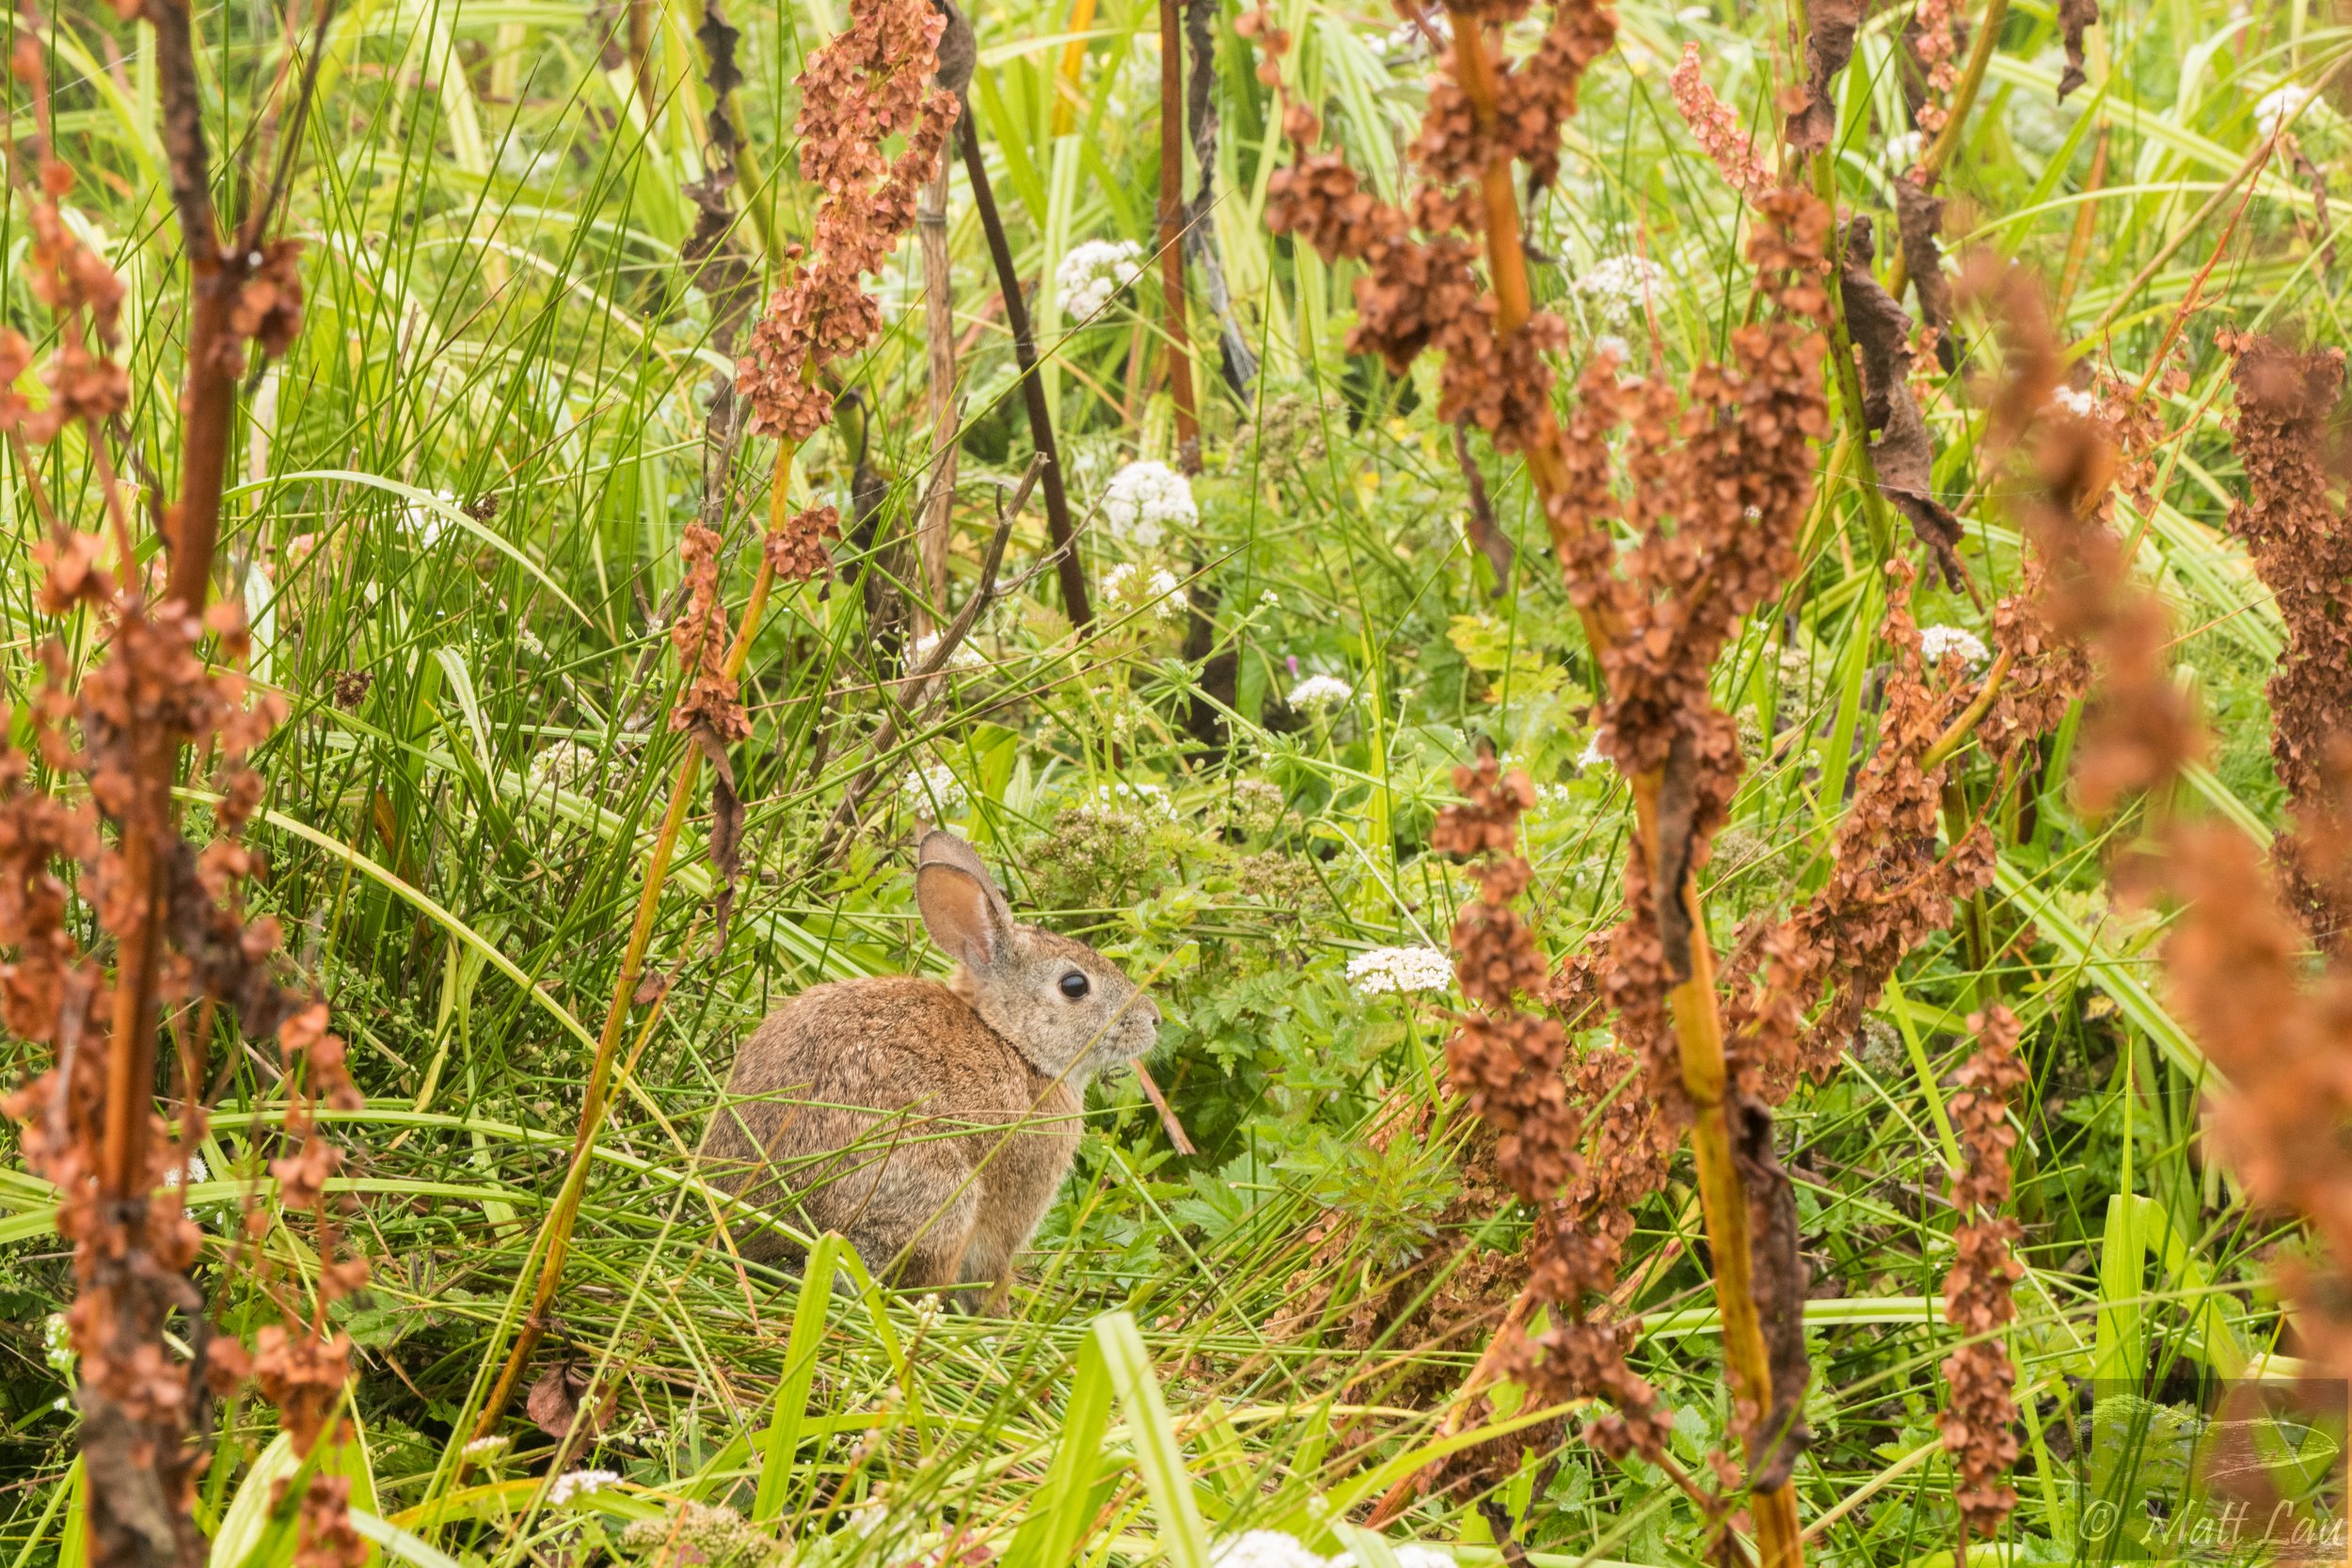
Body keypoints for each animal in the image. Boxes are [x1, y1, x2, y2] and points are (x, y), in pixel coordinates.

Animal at [697, 828, 1161, 1313]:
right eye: (1074, 986)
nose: (1153, 1019)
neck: (1012, 1041)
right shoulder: (1010, 1213)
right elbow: (994, 1273)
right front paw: (999, 1319)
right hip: (935, 1198)